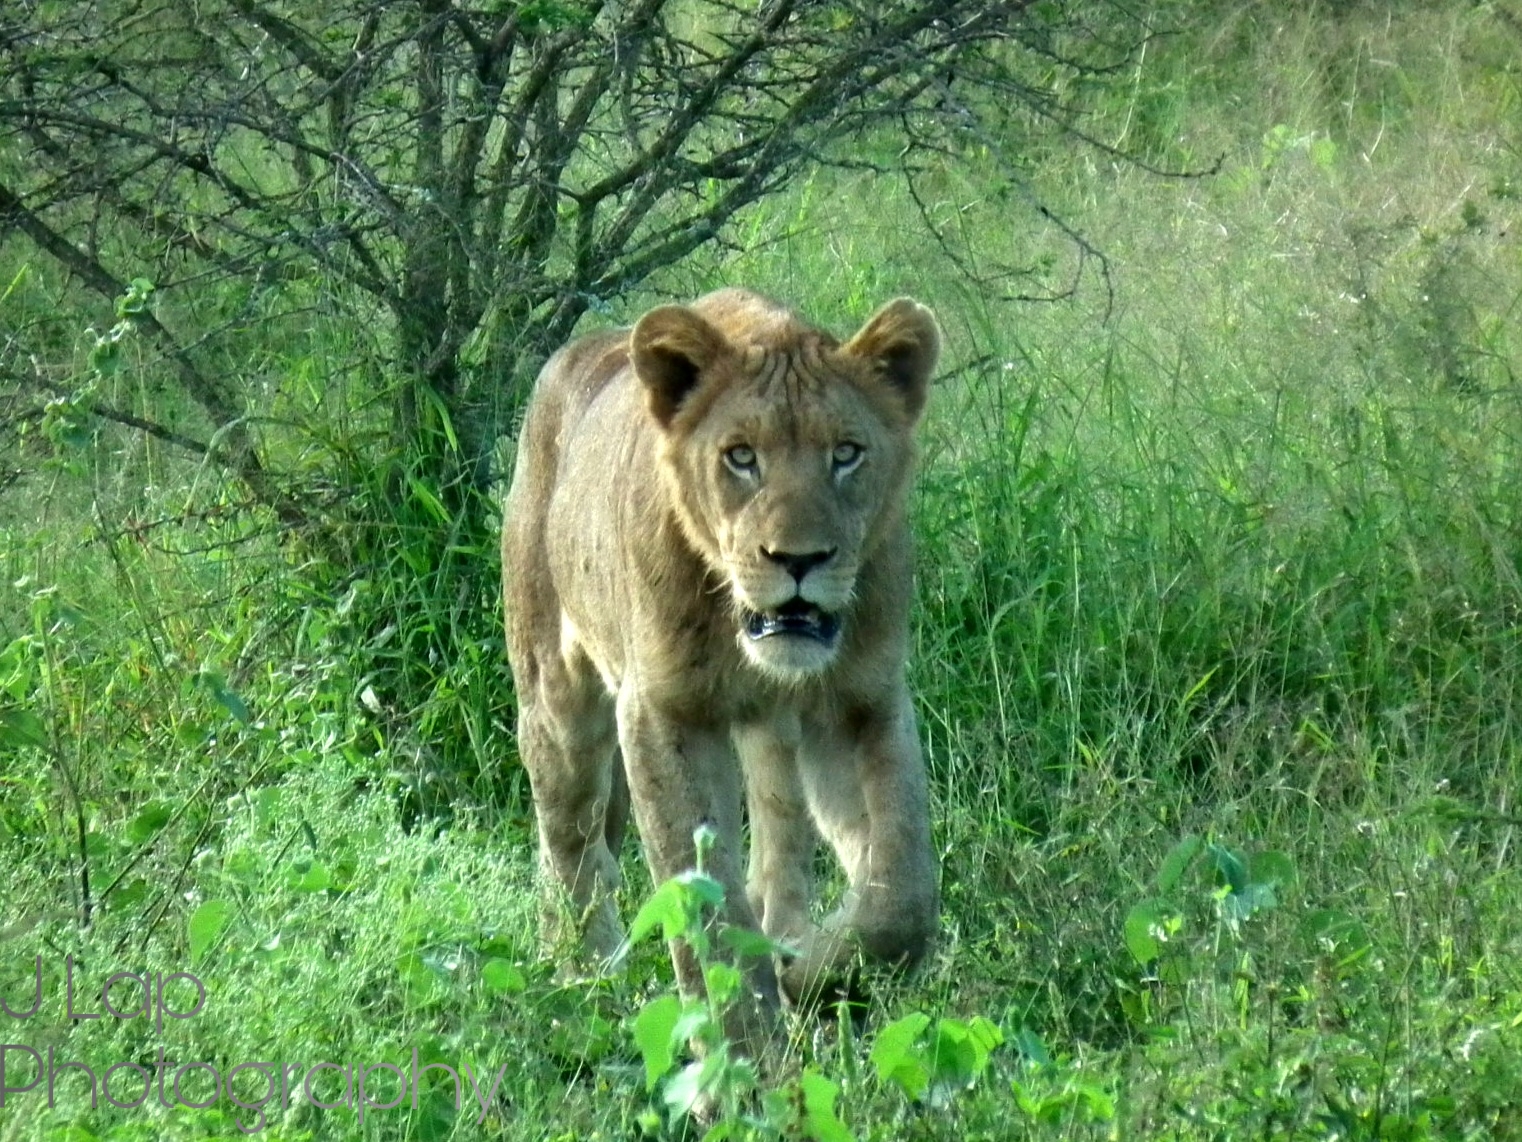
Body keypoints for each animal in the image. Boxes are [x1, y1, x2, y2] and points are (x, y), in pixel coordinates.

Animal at [501, 288, 940, 1049]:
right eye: (741, 457)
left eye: (846, 453)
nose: (798, 559)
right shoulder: (663, 712)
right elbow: (704, 904)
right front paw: (743, 1055)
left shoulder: (861, 698)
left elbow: (901, 895)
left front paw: (812, 975)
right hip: (556, 701)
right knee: (572, 842)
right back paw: (588, 980)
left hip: (770, 735)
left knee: (776, 838)